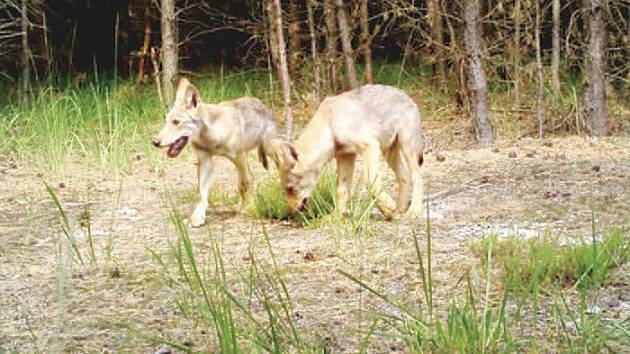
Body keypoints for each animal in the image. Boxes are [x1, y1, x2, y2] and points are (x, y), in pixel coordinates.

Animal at [152, 78, 278, 227]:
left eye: (176, 122)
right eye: (166, 121)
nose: (155, 142)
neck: (210, 135)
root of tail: (261, 103)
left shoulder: (238, 156)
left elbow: (245, 184)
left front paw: (248, 209)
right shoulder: (205, 162)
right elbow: (202, 193)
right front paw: (197, 217)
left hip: (269, 151)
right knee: (250, 178)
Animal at [272, 84, 424, 220]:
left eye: (290, 188)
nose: (289, 214)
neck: (330, 126)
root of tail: (408, 97)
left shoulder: (370, 146)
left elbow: (370, 182)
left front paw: (387, 207)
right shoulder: (346, 156)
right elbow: (341, 190)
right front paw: (338, 216)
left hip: (407, 149)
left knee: (417, 178)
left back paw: (414, 211)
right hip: (389, 153)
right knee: (404, 177)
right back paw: (400, 209)